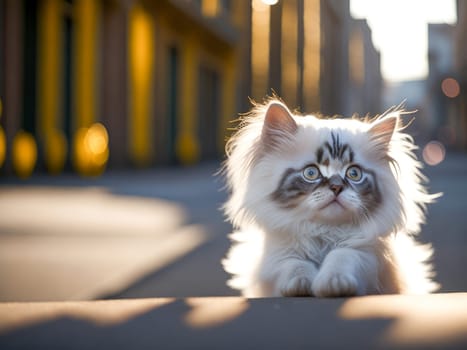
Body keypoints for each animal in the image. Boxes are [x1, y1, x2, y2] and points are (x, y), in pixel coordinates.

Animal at [221, 99, 440, 298]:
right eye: (311, 173)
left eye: (354, 173)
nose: (336, 187)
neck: (324, 232)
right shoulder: (274, 257)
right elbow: (293, 263)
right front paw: (300, 285)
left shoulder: (368, 255)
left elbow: (342, 255)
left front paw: (334, 284)